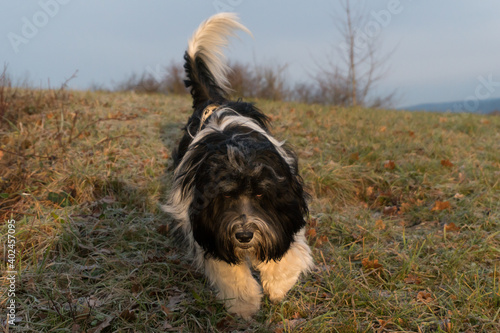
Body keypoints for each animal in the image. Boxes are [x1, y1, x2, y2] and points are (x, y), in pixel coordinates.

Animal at [164, 13, 312, 318]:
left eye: (260, 193)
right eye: (226, 196)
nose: (244, 235)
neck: (238, 154)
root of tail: (214, 101)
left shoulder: (288, 205)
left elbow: (286, 250)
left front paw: (277, 284)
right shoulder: (205, 221)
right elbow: (226, 265)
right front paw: (245, 302)